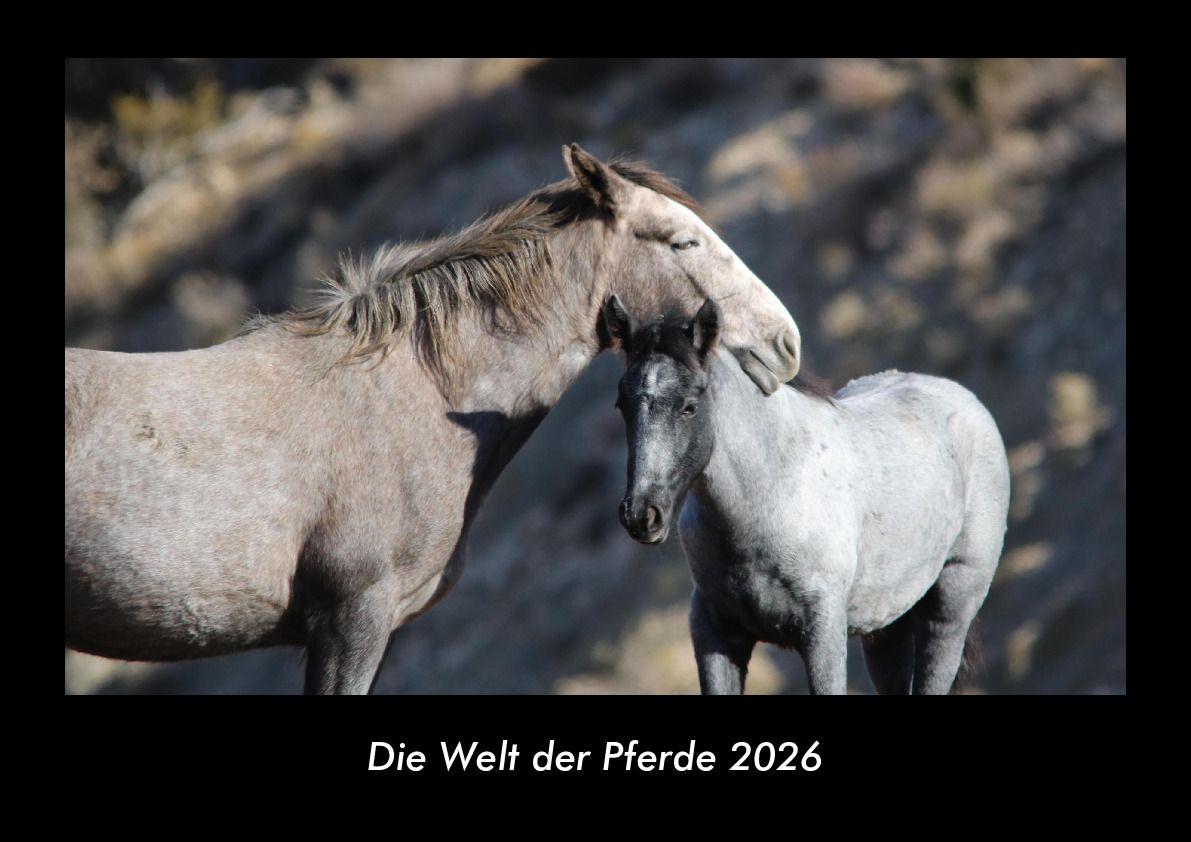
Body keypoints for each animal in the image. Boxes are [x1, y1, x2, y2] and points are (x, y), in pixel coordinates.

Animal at [604, 296, 1009, 694]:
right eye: (623, 404)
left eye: (689, 406)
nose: (641, 514)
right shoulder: (716, 636)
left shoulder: (823, 635)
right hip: (886, 629)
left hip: (949, 612)